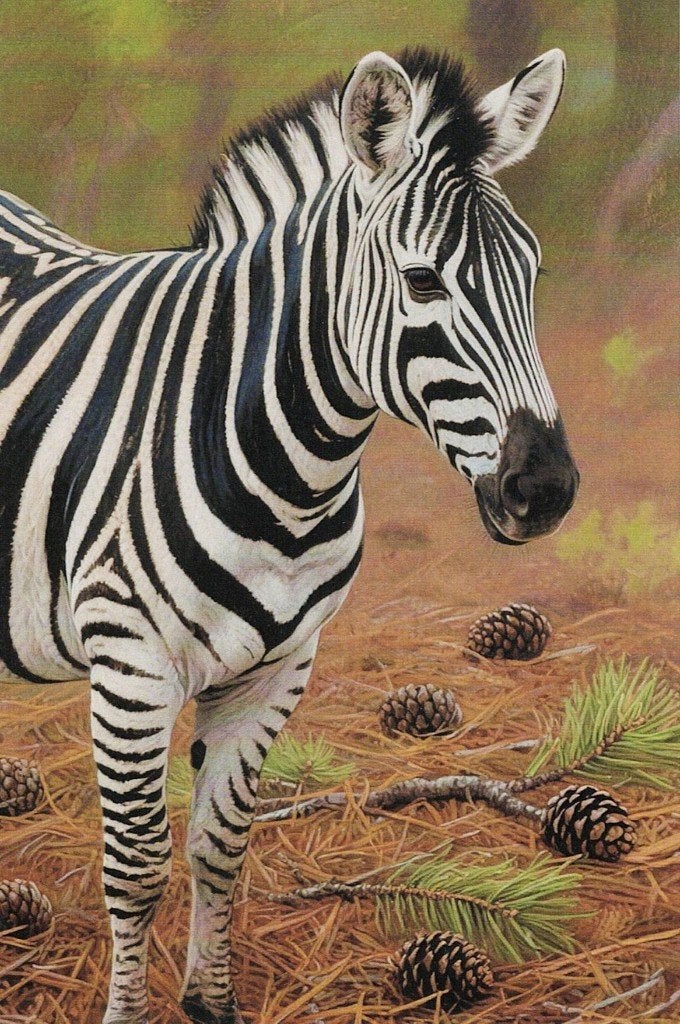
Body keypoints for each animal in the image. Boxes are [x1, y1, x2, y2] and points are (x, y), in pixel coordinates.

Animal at [0, 46, 577, 1024]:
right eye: (423, 281)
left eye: (531, 277)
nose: (547, 491)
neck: (289, 469)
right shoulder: (131, 669)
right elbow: (138, 867)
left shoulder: (279, 667)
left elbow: (220, 844)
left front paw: (211, 1003)